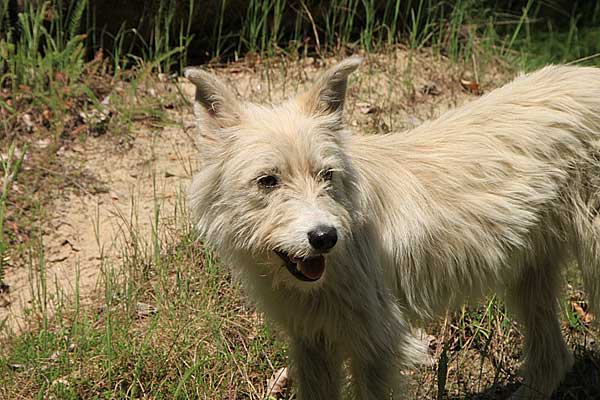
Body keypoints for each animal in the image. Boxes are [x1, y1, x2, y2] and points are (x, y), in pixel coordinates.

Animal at [185, 57, 600, 400]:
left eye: (326, 175)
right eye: (268, 181)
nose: (324, 237)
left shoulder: (378, 345)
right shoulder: (312, 341)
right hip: (530, 275)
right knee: (553, 358)